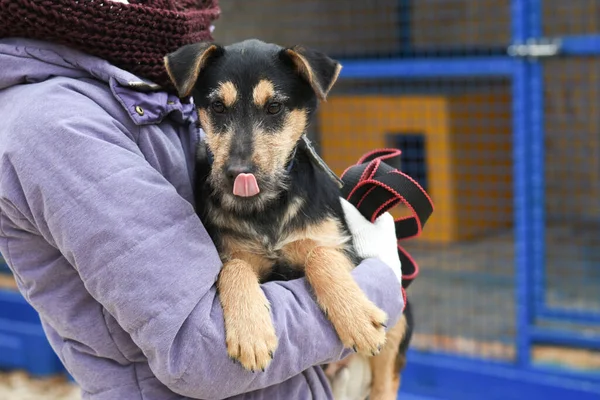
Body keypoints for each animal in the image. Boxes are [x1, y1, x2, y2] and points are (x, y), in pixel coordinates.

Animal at [166, 38, 412, 400]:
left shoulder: (342, 247)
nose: (237, 173)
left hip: (403, 315)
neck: (266, 209)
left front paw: (355, 318)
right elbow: (234, 267)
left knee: (386, 381)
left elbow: (320, 255)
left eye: (274, 108)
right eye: (218, 107)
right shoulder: (231, 254)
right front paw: (250, 332)